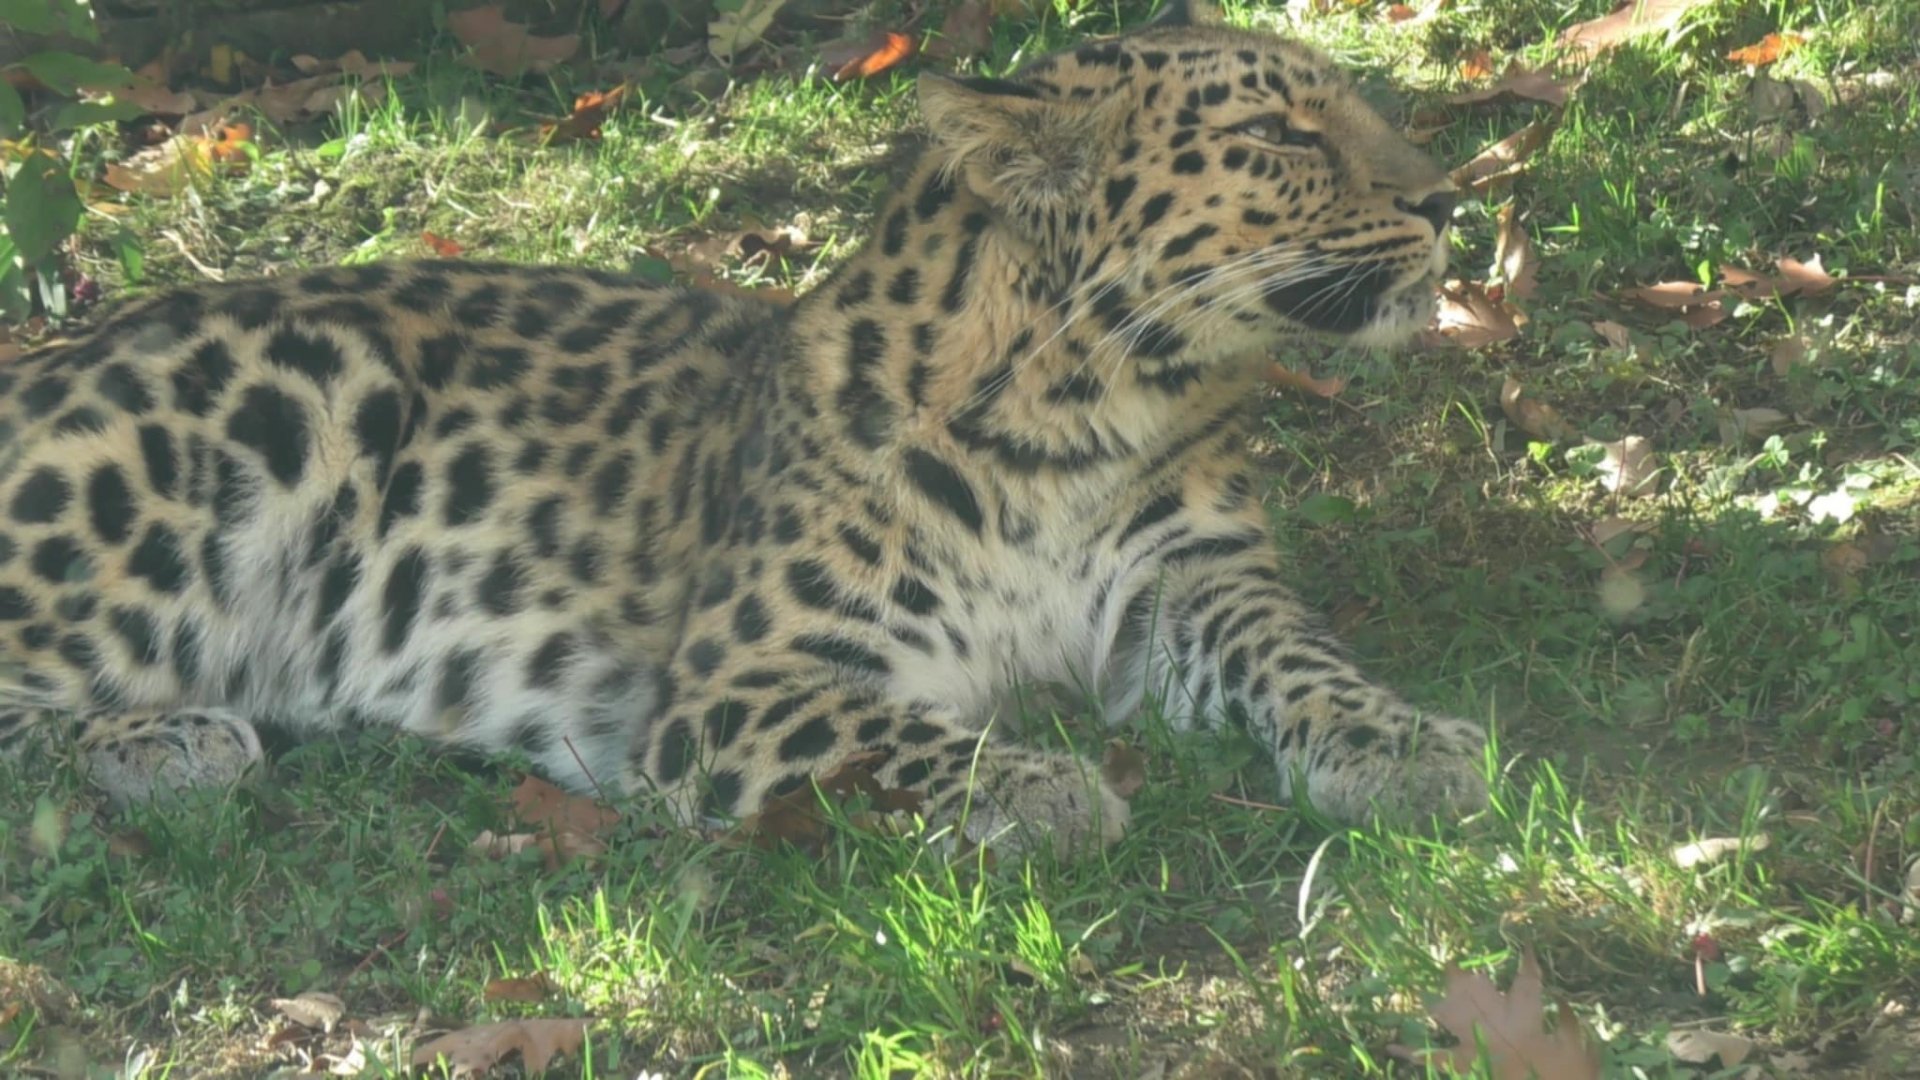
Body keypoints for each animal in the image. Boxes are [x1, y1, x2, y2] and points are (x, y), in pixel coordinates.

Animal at [0, 0, 1486, 854]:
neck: (1091, 412)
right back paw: (173, 743)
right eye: (1282, 136)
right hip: (237, 426)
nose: (1452, 201)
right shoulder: (737, 684)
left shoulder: (1193, 586)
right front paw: (1042, 788)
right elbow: (900, 732)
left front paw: (1403, 746)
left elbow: (1299, 656)